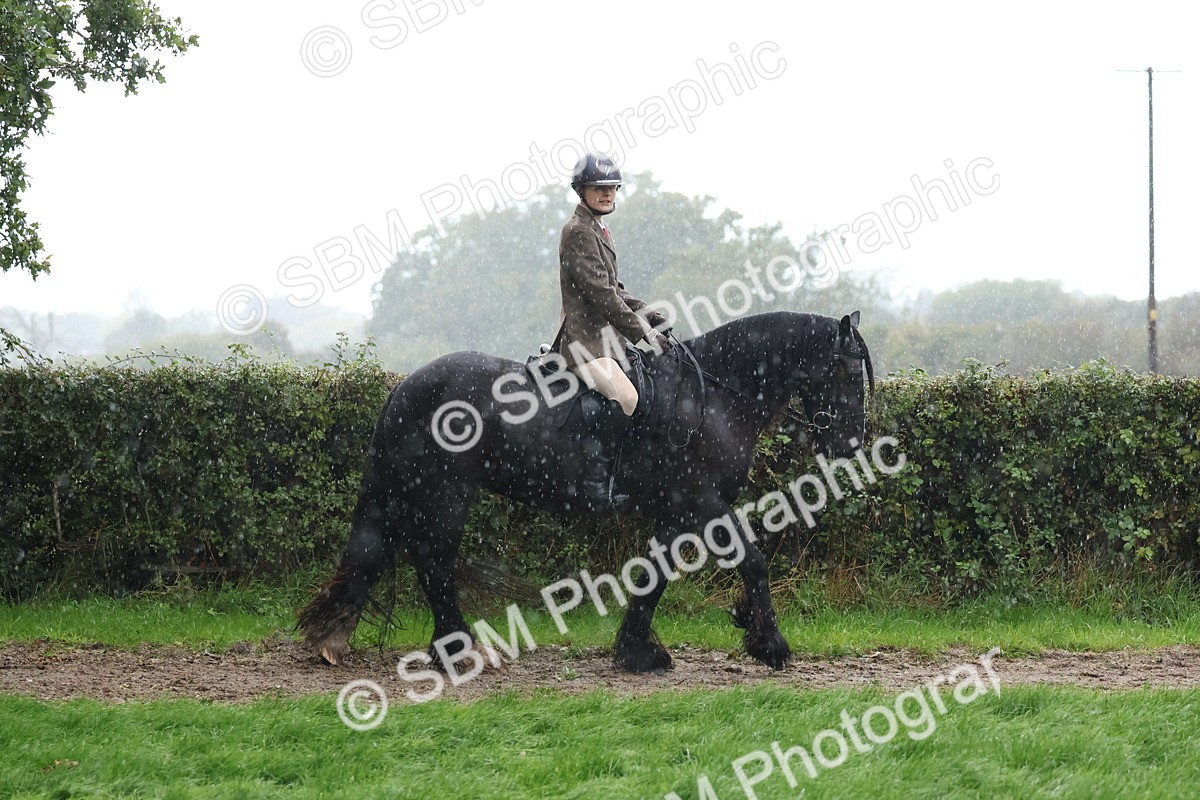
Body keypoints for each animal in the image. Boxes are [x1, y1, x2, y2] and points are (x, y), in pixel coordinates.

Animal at [299, 310, 873, 673]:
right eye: (847, 372)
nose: (852, 444)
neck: (710, 398)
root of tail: (408, 384)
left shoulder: (674, 511)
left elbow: (654, 574)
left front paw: (636, 652)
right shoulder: (703, 503)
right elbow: (752, 559)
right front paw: (770, 645)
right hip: (446, 493)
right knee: (434, 561)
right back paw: (456, 650)